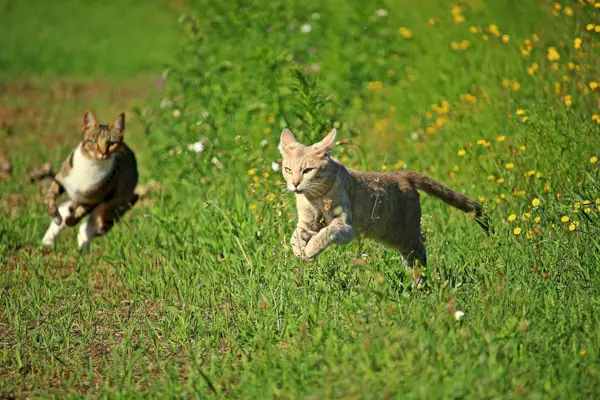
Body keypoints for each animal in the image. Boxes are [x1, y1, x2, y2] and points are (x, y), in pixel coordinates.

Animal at [41, 111, 139, 252]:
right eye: (94, 141)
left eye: (111, 143)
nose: (103, 153)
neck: (91, 164)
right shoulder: (61, 179)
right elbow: (50, 197)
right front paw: (56, 217)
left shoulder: (97, 198)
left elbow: (79, 214)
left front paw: (70, 220)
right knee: (66, 208)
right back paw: (48, 241)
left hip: (112, 210)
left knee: (88, 227)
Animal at [280, 129, 488, 284]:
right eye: (288, 170)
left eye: (307, 170)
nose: (295, 184)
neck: (314, 197)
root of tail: (401, 175)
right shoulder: (306, 223)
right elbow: (294, 236)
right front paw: (300, 251)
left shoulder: (345, 226)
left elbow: (325, 234)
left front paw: (310, 250)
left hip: (405, 237)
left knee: (420, 255)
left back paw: (419, 287)